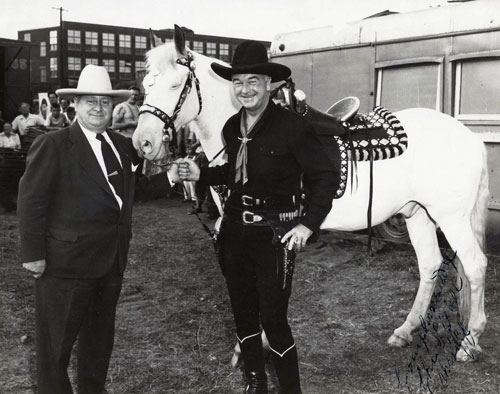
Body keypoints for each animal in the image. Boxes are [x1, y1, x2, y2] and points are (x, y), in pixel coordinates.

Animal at [133, 26, 488, 362]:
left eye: (176, 85)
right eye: (146, 84)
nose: (143, 143)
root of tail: (468, 135)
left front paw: (261, 344)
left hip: (451, 218)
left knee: (474, 265)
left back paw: (470, 343)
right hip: (417, 213)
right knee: (430, 265)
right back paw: (405, 329)